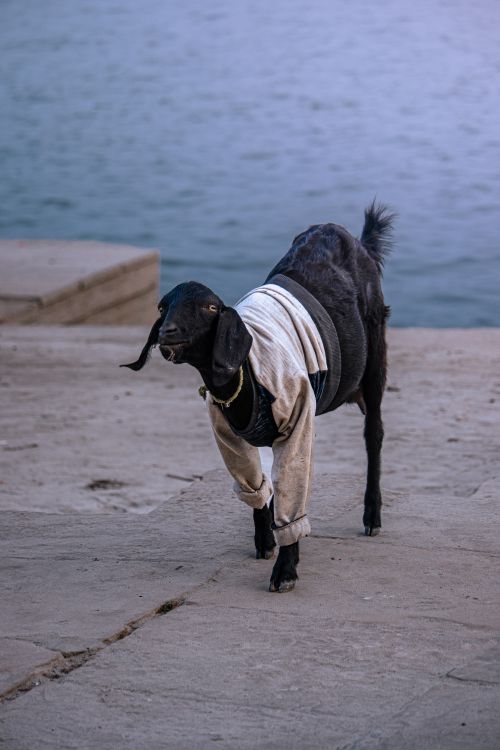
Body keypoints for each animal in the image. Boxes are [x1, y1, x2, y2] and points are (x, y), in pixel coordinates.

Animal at [122, 203, 394, 592]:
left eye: (209, 308)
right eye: (162, 308)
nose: (167, 333)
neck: (246, 373)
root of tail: (356, 240)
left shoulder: (296, 411)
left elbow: (290, 490)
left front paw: (285, 570)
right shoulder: (229, 434)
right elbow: (254, 481)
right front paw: (265, 541)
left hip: (374, 360)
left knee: (374, 434)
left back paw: (372, 515)